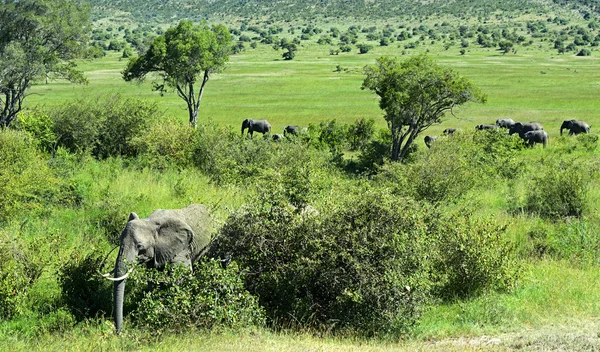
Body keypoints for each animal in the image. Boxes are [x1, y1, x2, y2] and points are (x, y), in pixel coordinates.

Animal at [103, 204, 216, 332]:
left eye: (139, 246)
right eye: (119, 241)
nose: (119, 332)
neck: (150, 223)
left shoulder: (182, 248)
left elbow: (180, 275)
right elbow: (152, 280)